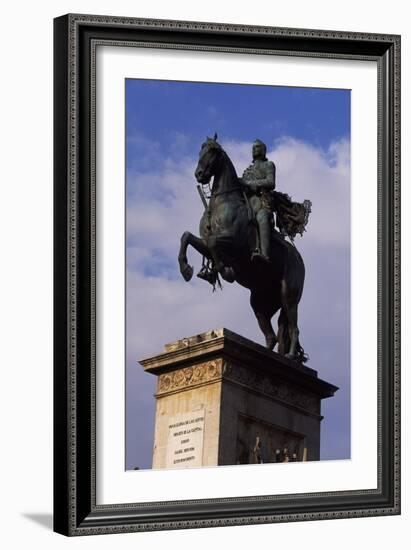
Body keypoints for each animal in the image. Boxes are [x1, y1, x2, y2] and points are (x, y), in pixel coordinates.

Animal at [179, 136, 308, 364]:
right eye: (201, 149)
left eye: (212, 151)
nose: (199, 174)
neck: (222, 203)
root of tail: (299, 260)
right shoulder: (205, 244)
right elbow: (187, 237)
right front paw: (188, 269)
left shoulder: (234, 243)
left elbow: (214, 242)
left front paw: (226, 271)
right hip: (260, 302)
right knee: (272, 336)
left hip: (289, 296)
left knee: (293, 327)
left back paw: (291, 355)